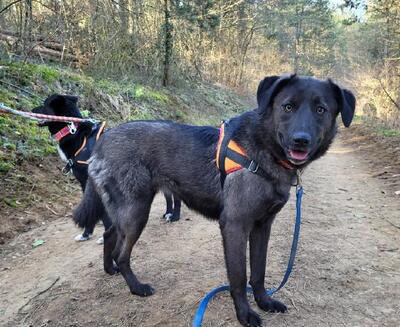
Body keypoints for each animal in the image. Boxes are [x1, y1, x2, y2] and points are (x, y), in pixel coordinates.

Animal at [33, 95, 182, 243]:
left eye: (44, 104)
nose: (32, 110)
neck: (76, 134)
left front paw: (100, 235)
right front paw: (87, 234)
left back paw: (175, 216)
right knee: (168, 194)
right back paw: (168, 213)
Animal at [73, 75, 354, 326]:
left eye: (320, 109)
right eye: (288, 107)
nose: (301, 140)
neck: (264, 150)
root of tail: (103, 141)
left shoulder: (263, 226)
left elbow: (259, 272)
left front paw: (264, 302)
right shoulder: (235, 226)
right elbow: (239, 277)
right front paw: (245, 314)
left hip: (124, 211)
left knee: (109, 233)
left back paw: (110, 270)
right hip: (136, 213)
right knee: (121, 253)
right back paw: (136, 287)